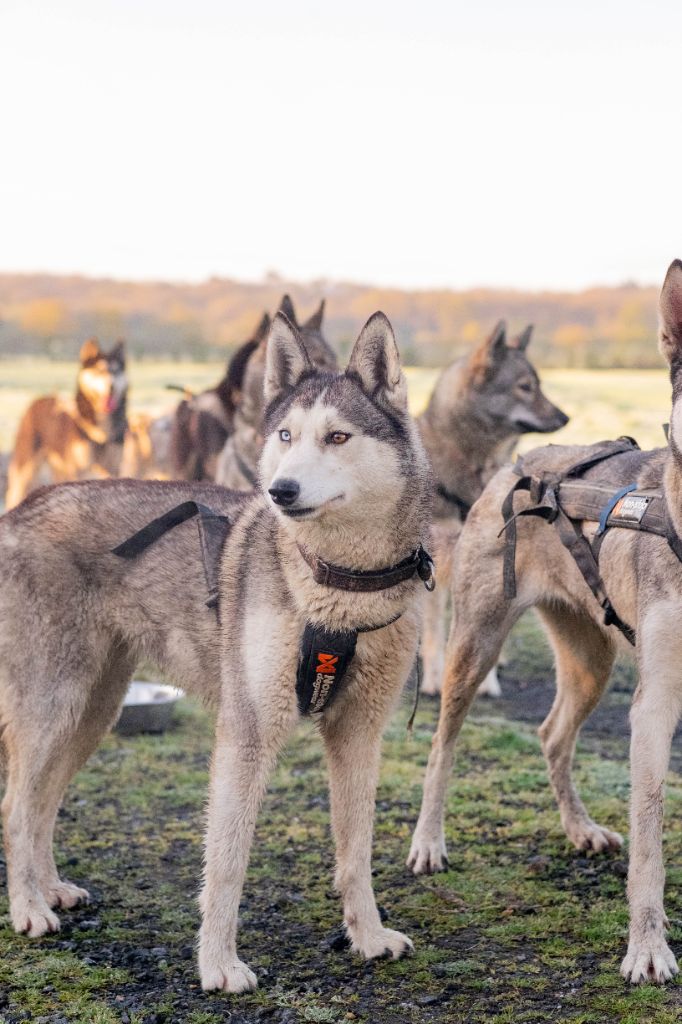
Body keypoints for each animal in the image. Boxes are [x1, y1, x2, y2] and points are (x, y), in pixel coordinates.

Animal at [417, 323, 565, 696]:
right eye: (525, 387)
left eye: (538, 384)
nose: (564, 417)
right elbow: (434, 630)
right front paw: (432, 679)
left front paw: (488, 682)